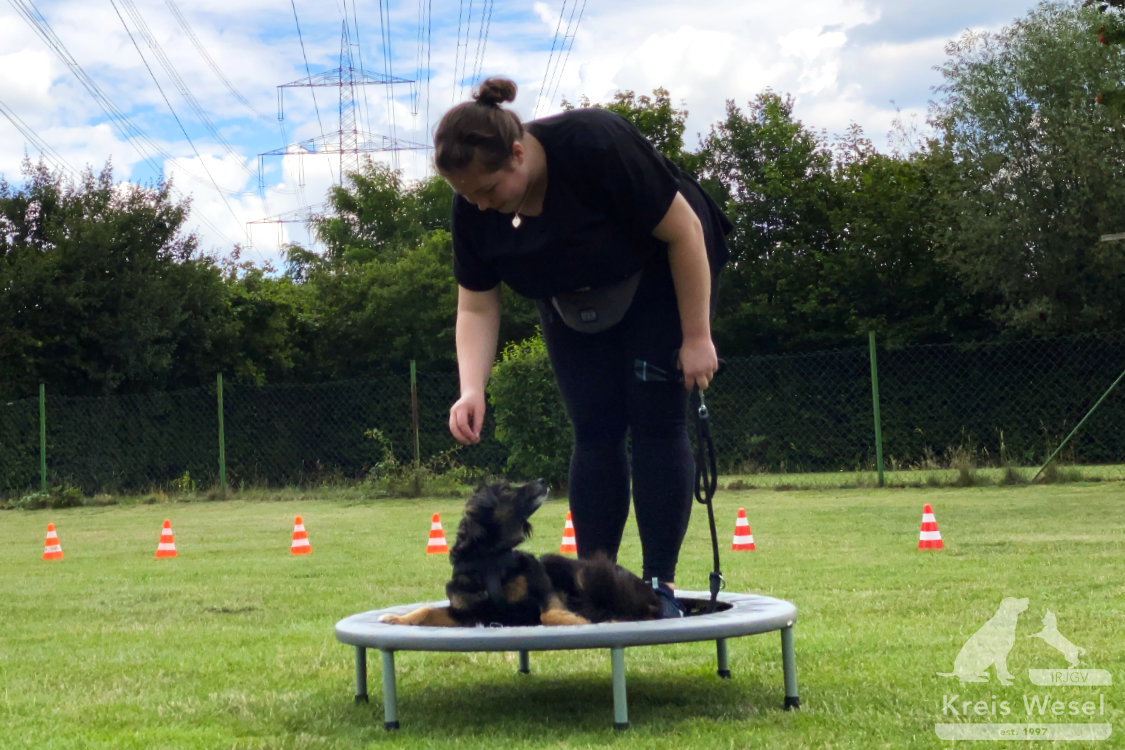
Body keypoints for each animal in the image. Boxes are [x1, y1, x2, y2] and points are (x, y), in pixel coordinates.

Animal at [380, 481, 657, 629]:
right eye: (505, 488)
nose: (543, 481)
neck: (488, 560)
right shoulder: (465, 614)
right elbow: (426, 610)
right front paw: (398, 618)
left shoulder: (546, 593)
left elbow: (548, 614)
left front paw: (578, 620)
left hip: (577, 570)